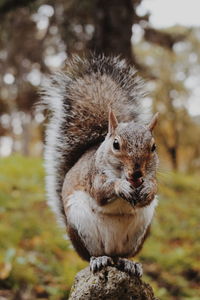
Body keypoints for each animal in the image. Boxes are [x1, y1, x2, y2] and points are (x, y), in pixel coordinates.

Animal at [40, 54, 159, 276]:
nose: (137, 173)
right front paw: (120, 186)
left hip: (139, 232)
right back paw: (99, 259)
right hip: (81, 226)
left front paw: (147, 188)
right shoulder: (93, 176)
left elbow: (151, 192)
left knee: (122, 255)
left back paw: (128, 262)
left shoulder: (152, 176)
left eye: (153, 147)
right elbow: (100, 192)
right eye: (116, 144)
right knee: (92, 255)